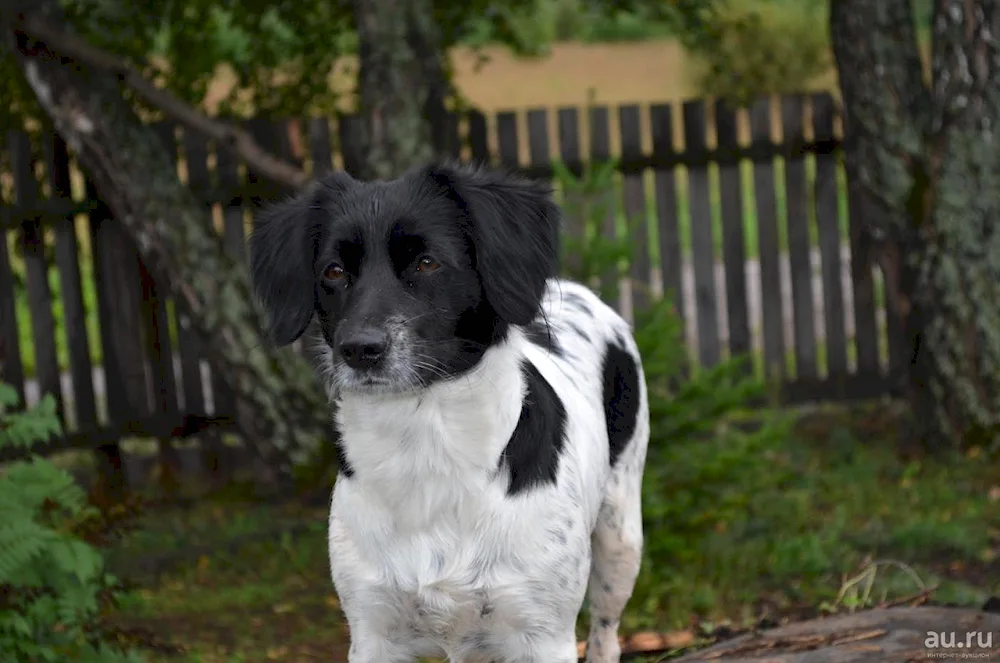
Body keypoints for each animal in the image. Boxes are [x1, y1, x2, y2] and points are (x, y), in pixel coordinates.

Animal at [250, 162, 648, 663]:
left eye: (426, 262)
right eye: (333, 271)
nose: (359, 349)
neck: (424, 446)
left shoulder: (543, 635)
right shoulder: (373, 632)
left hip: (620, 538)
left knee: (606, 633)